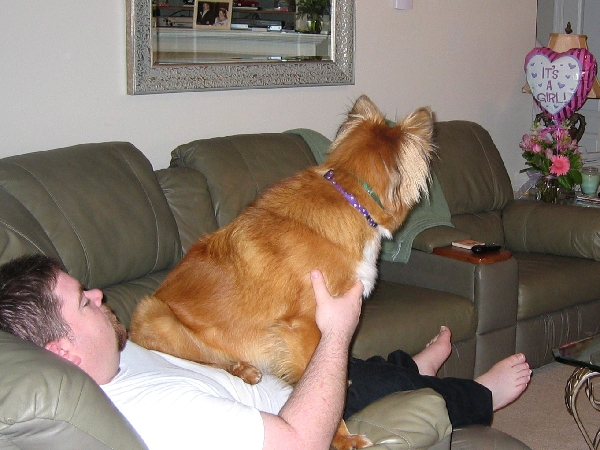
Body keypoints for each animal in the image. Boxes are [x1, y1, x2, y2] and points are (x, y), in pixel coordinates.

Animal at [131, 94, 434, 446]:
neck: (351, 196)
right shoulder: (304, 325)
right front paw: (342, 439)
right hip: (155, 314)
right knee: (207, 358)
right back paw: (243, 367)